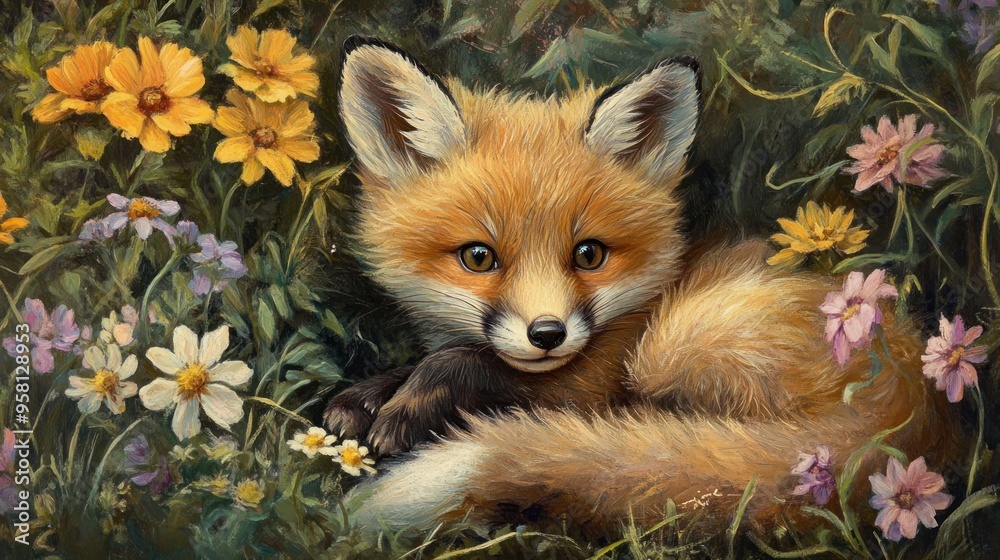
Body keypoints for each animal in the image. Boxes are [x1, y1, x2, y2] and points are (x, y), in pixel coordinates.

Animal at [325, 36, 959, 537]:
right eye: (478, 257)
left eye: (589, 254)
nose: (547, 334)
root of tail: (908, 405)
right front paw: (363, 400)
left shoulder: (588, 384)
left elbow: (466, 363)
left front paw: (405, 409)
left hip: (674, 345)